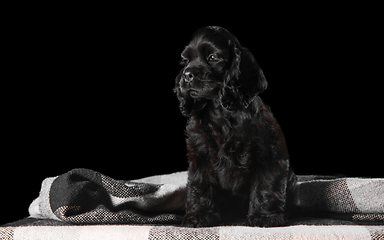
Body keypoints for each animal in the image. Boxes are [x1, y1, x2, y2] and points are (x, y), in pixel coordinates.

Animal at [174, 26, 296, 227]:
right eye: (186, 60)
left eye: (213, 57)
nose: (187, 75)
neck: (222, 113)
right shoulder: (200, 153)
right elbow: (199, 185)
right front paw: (199, 215)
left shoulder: (270, 153)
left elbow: (267, 185)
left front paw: (264, 217)